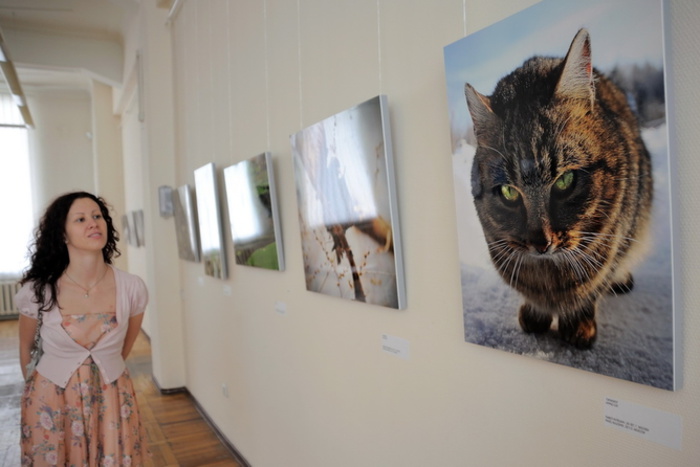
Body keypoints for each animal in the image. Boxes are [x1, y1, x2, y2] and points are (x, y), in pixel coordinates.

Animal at [464, 28, 652, 348]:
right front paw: (535, 314)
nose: (541, 242)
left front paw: (579, 324)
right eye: (509, 192)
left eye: (565, 181)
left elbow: (593, 285)